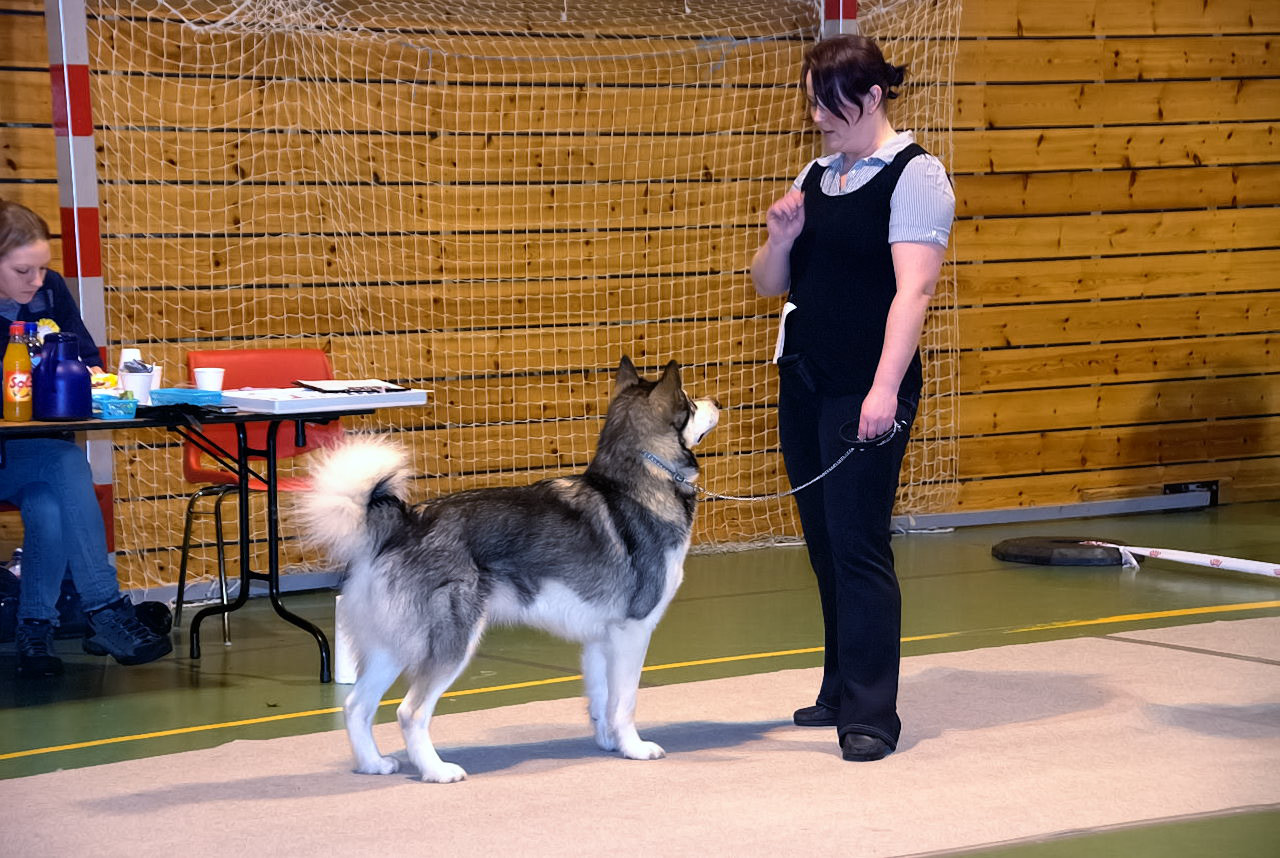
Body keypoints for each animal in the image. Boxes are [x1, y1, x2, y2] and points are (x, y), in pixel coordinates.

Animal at [299, 353, 721, 778]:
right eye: (690, 402)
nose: (717, 401)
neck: (641, 482)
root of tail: (406, 522)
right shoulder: (632, 632)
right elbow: (624, 703)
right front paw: (634, 748)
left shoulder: (600, 639)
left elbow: (601, 703)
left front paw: (610, 744)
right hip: (451, 643)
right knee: (410, 712)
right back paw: (438, 771)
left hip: (393, 645)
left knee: (356, 706)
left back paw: (373, 764)